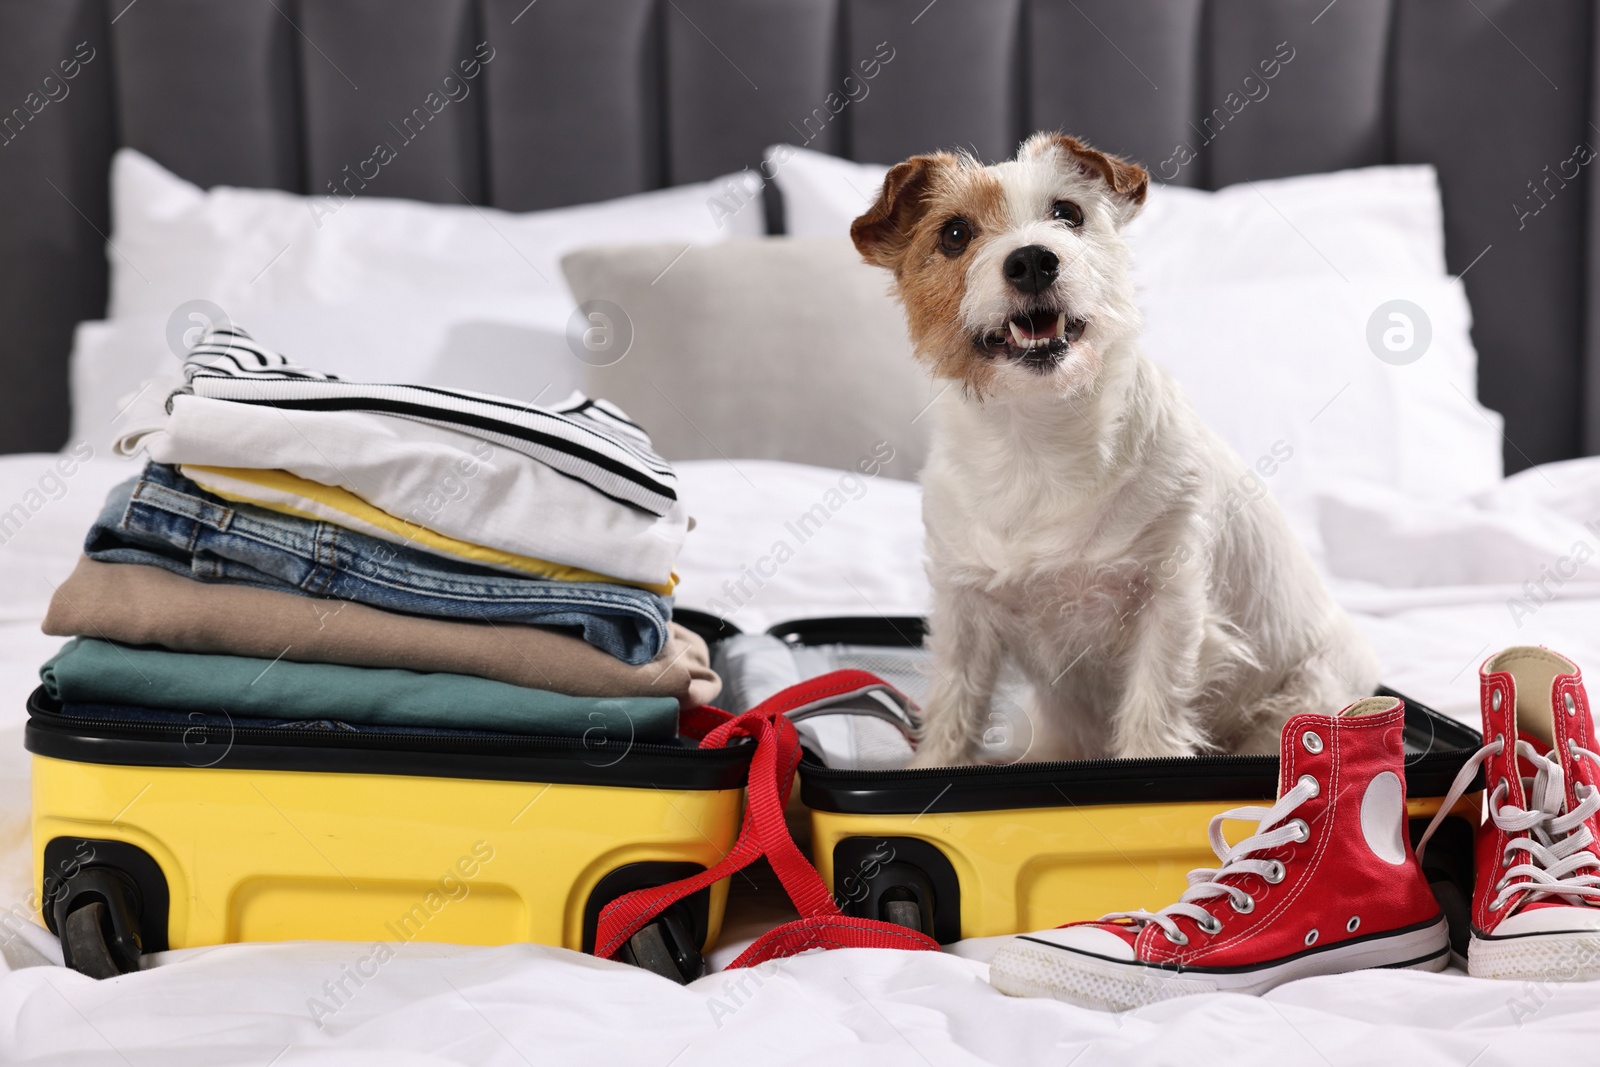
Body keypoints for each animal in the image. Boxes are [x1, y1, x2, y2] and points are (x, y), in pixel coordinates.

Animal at [851, 135, 1376, 767]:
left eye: (1068, 213)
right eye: (954, 234)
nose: (1033, 260)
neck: (1039, 441)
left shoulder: (1169, 601)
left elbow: (1154, 709)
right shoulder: (965, 610)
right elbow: (955, 706)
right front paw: (936, 764)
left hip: (1301, 702)